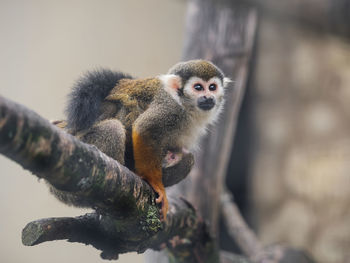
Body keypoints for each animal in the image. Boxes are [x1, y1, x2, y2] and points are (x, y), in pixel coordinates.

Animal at [54, 60, 230, 221]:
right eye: (198, 88)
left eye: (212, 87)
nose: (208, 97)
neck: (186, 107)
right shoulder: (170, 108)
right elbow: (144, 129)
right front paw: (156, 184)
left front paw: (170, 160)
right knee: (113, 127)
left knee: (189, 158)